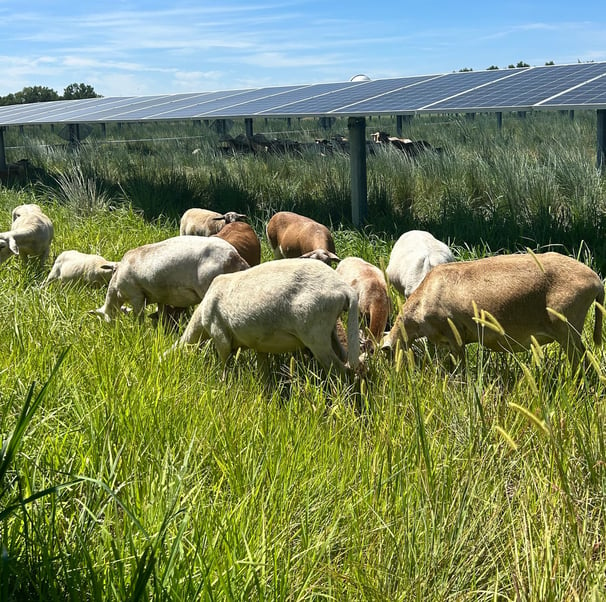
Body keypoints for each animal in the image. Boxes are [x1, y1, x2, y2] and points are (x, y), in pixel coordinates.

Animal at [170, 258, 360, 380]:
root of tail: (343, 288)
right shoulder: (259, 345)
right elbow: (263, 372)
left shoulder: (220, 335)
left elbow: (225, 365)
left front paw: (224, 384)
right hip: (330, 331)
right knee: (347, 363)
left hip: (315, 333)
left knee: (339, 370)